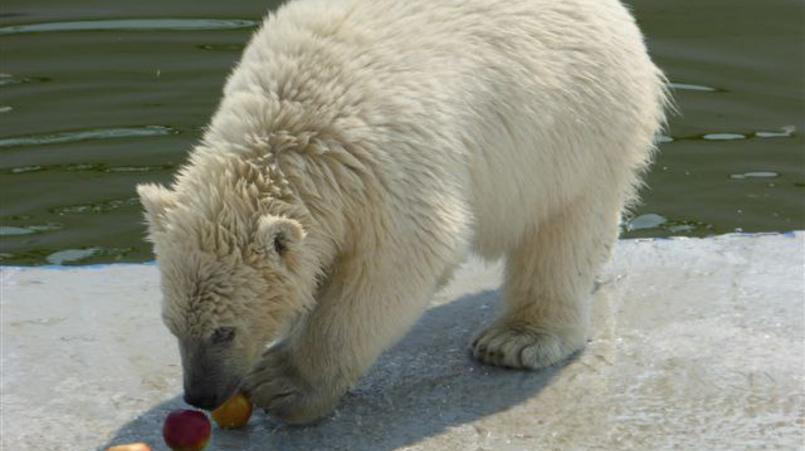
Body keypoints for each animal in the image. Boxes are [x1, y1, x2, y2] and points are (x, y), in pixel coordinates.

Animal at [137, 0, 664, 428]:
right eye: (171, 325)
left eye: (224, 331)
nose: (201, 396)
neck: (292, 121)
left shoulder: (386, 167)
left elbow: (399, 261)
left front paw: (282, 384)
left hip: (575, 128)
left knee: (563, 230)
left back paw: (516, 340)